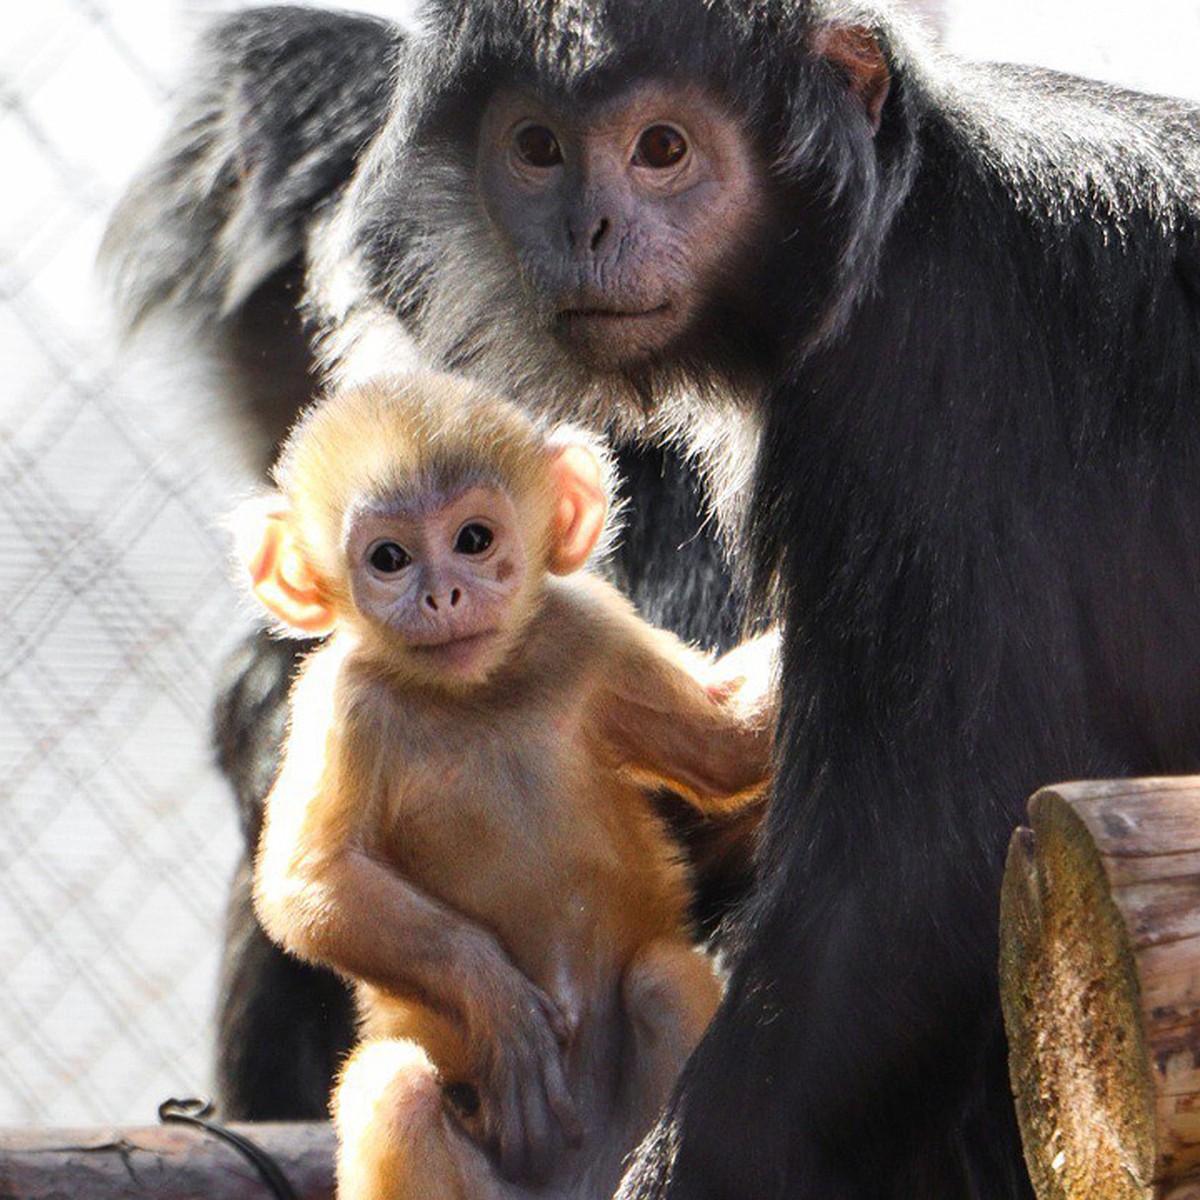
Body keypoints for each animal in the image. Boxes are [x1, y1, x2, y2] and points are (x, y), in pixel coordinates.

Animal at [241, 374, 777, 1200]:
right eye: (389, 558)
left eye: (474, 540)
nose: (444, 597)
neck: (478, 696)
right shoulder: (343, 699)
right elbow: (308, 883)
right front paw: (496, 999)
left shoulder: (589, 628)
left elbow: (728, 746)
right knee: (396, 1085)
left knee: (661, 976)